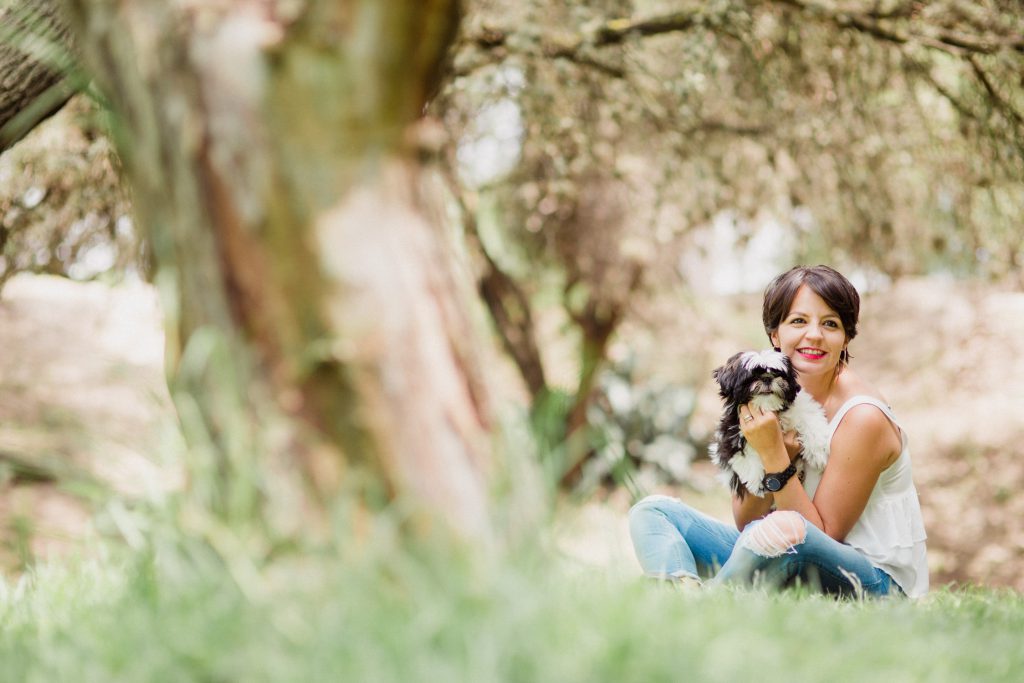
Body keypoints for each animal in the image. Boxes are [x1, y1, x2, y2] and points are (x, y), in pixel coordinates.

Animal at [712, 352, 831, 497]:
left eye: (777, 373)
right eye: (753, 376)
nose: (767, 378)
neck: (768, 407)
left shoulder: (803, 407)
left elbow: (810, 420)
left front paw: (817, 453)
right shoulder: (730, 432)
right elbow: (744, 450)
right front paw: (756, 480)